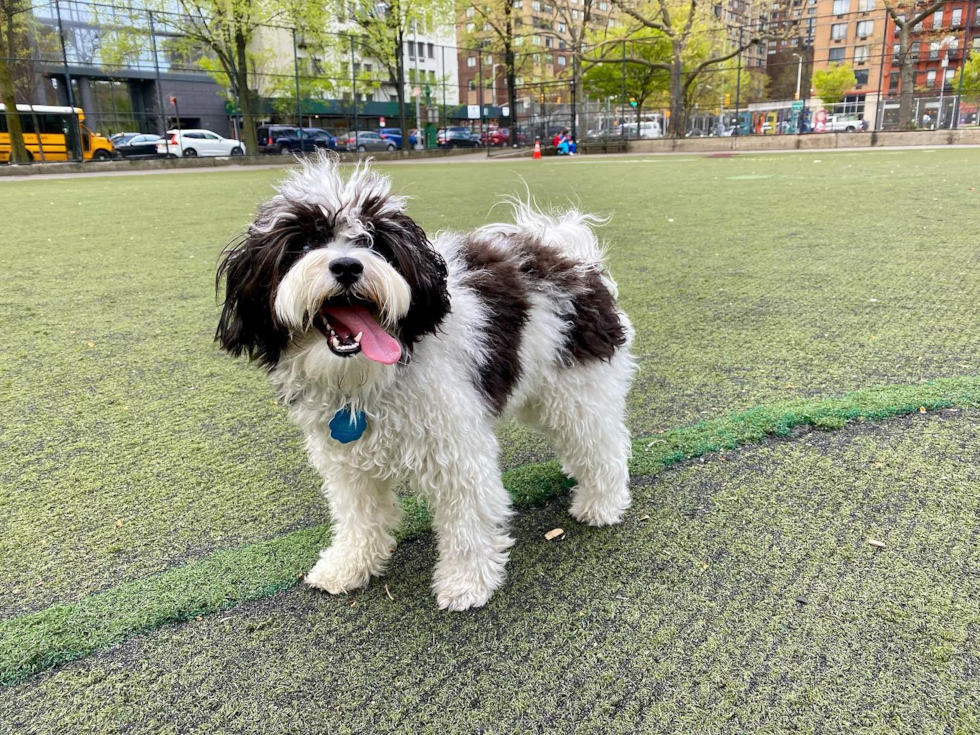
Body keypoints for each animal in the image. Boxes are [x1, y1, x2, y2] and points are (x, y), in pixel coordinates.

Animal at [216, 154, 636, 608]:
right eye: (302, 245)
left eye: (374, 243)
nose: (347, 265)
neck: (372, 378)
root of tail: (565, 250)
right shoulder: (346, 459)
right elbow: (358, 514)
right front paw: (348, 565)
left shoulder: (456, 448)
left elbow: (467, 518)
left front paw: (467, 583)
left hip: (576, 386)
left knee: (602, 443)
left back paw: (601, 504)